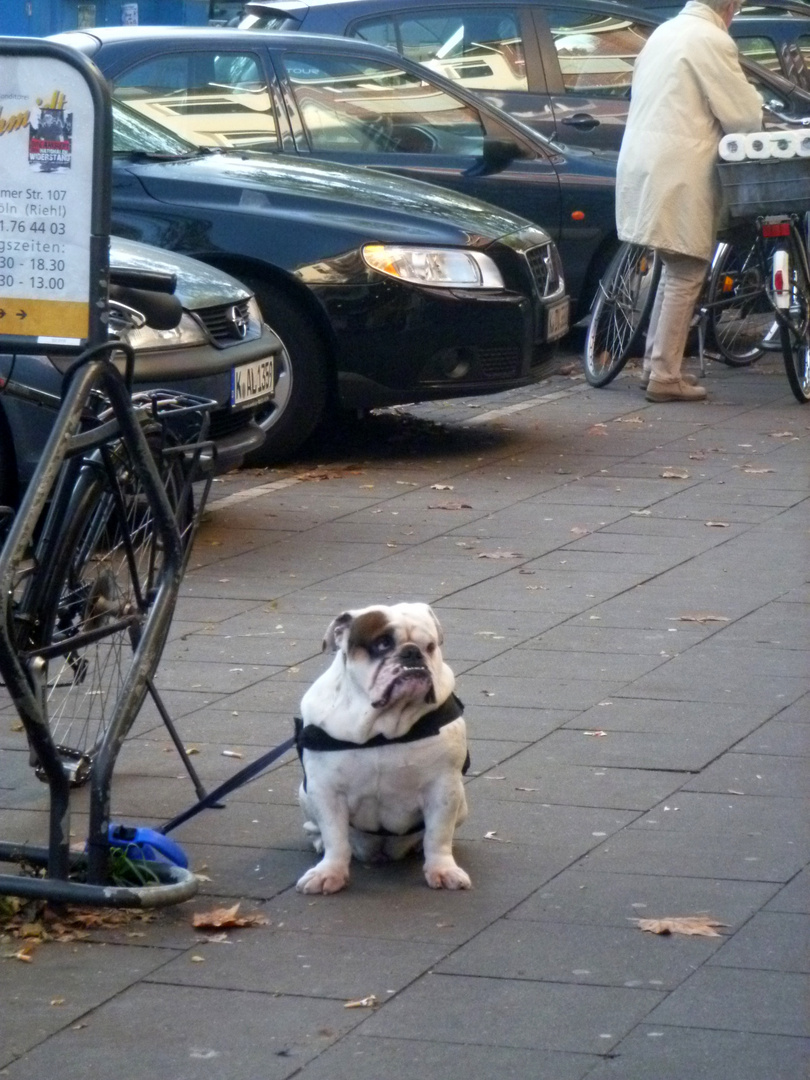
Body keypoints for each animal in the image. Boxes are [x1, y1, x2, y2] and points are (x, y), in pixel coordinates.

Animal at [293, 600, 473, 894]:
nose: (412, 653)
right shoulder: (326, 789)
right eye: (383, 644)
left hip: (461, 802)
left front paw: (442, 869)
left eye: (430, 646)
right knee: (317, 828)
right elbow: (335, 836)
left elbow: (438, 834)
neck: (382, 727)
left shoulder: (443, 787)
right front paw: (329, 872)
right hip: (305, 793)